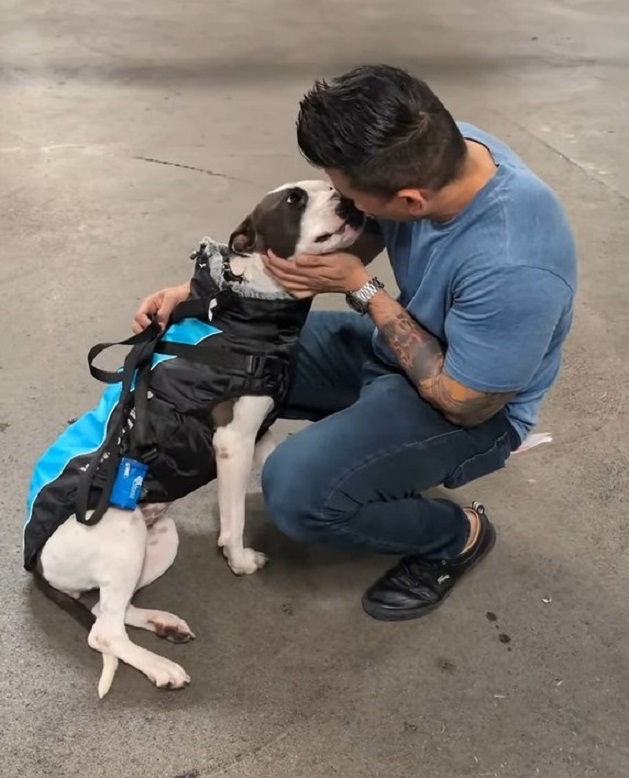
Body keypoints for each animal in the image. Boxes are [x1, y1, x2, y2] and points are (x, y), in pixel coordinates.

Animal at [24, 182, 366, 696]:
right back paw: (161, 668)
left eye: (327, 187)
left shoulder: (258, 434)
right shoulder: (234, 441)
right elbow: (234, 519)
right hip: (123, 534)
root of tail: (39, 564)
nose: (348, 199)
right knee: (103, 633)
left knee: (107, 610)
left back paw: (163, 625)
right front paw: (239, 559)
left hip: (156, 541)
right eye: (294, 200)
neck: (245, 308)